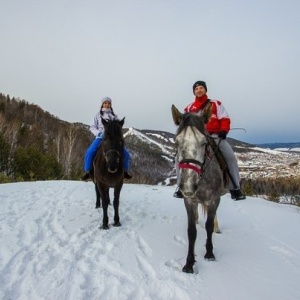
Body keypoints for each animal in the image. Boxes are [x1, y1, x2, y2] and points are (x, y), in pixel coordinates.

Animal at [171, 104, 227, 274]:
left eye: (204, 142)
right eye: (176, 142)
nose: (188, 185)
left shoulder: (214, 199)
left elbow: (208, 225)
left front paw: (209, 253)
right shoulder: (189, 201)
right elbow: (191, 232)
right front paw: (189, 263)